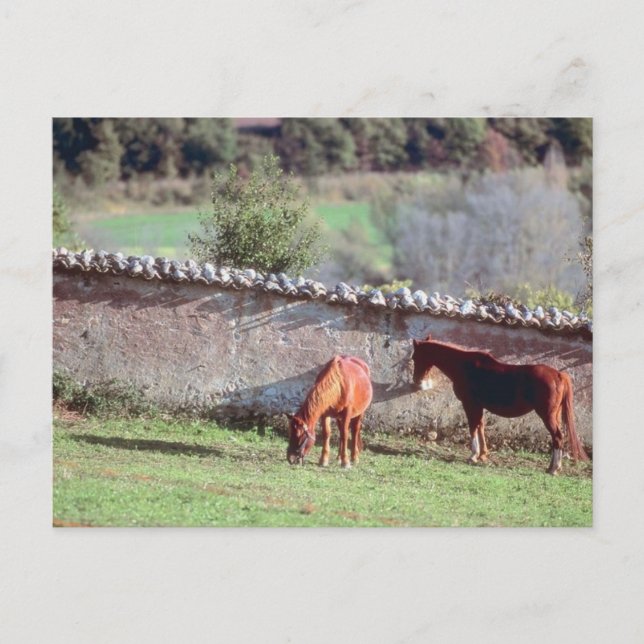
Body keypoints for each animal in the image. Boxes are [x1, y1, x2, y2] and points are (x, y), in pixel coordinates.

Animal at [411, 336, 590, 475]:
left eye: (414, 357)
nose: (416, 380)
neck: (463, 366)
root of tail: (558, 374)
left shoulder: (470, 404)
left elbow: (473, 427)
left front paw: (473, 455)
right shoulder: (479, 406)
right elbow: (480, 426)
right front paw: (483, 454)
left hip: (547, 415)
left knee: (558, 437)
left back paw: (554, 468)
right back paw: (551, 467)